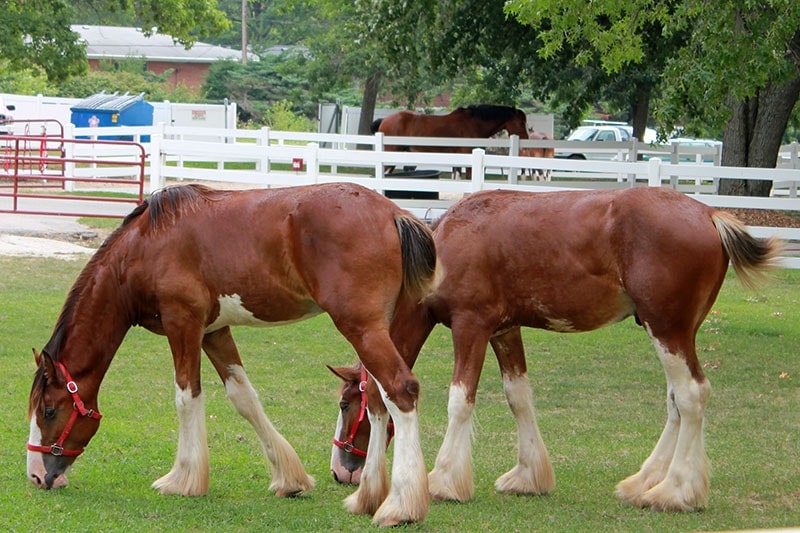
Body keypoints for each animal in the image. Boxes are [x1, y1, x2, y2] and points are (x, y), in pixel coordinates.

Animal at [28, 183, 438, 528]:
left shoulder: (183, 324)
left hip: (362, 327)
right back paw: (367, 498)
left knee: (401, 391)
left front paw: (183, 479)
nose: (36, 475)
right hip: (381, 330)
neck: (146, 246)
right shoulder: (214, 332)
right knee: (378, 401)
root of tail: (393, 213)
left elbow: (187, 397)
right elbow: (244, 398)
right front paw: (289, 479)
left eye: (48, 410)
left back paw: (399, 506)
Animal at [328, 186, 780, 512]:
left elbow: (461, 400)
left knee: (691, 396)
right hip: (674, 334)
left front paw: (443, 480)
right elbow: (519, 398)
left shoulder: (471, 327)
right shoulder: (505, 331)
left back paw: (675, 490)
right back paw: (643, 482)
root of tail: (710, 215)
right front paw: (529, 476)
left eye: (346, 405)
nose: (340, 471)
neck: (447, 246)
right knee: (676, 402)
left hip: (668, 330)